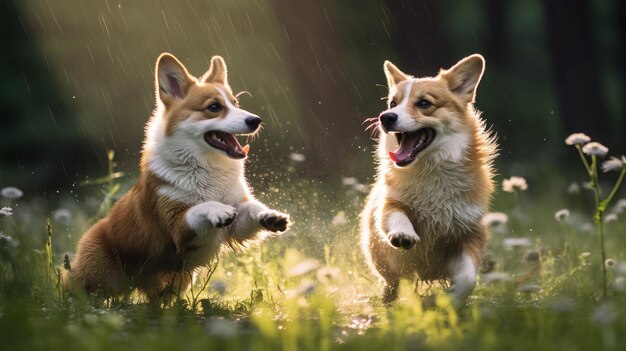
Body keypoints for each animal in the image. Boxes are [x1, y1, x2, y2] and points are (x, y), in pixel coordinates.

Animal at [64, 53, 288, 304]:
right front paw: (217, 209)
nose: (256, 120)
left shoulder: (236, 223)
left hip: (179, 281)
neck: (206, 167)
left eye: (236, 104)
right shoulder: (177, 226)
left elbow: (251, 209)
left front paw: (270, 215)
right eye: (214, 107)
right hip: (96, 274)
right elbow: (199, 207)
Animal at [358, 54, 494, 308]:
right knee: (391, 285)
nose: (385, 117)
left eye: (423, 103)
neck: (432, 169)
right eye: (392, 104)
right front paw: (404, 235)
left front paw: (453, 299)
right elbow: (397, 216)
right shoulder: (389, 205)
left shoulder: (470, 232)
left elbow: (468, 277)